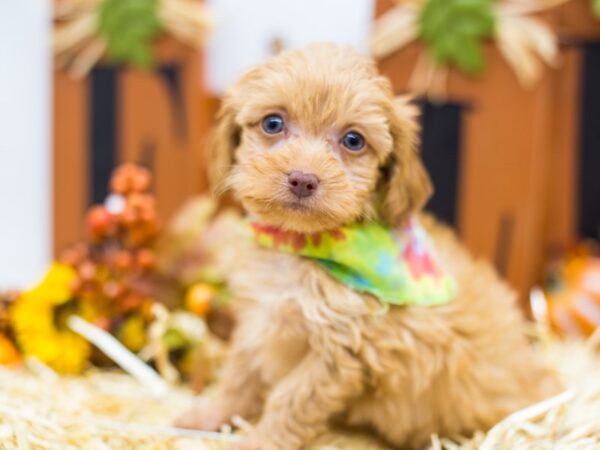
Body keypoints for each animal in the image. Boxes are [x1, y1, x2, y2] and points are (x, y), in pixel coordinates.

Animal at [177, 43, 556, 450]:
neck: (300, 248)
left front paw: (258, 442)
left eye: (353, 140)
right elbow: (239, 375)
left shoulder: (341, 350)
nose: (303, 180)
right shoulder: (256, 320)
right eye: (273, 123)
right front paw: (207, 415)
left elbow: (290, 401)